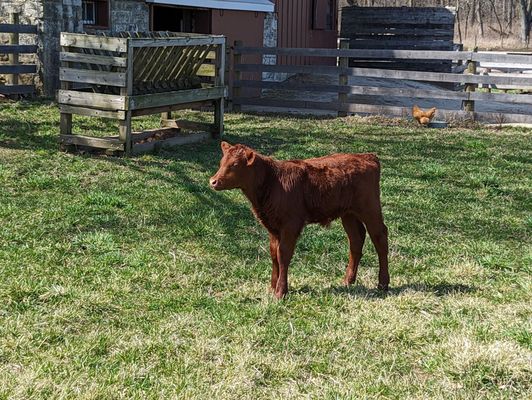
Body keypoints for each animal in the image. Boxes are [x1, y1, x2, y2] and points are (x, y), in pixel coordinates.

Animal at [210, 142, 388, 298]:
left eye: (235, 165)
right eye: (221, 162)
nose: (213, 181)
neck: (272, 182)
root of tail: (367, 156)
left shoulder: (291, 224)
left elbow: (283, 254)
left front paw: (280, 292)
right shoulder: (273, 226)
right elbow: (274, 254)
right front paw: (272, 287)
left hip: (370, 209)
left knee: (380, 237)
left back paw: (383, 283)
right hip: (348, 214)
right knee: (356, 240)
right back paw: (348, 281)